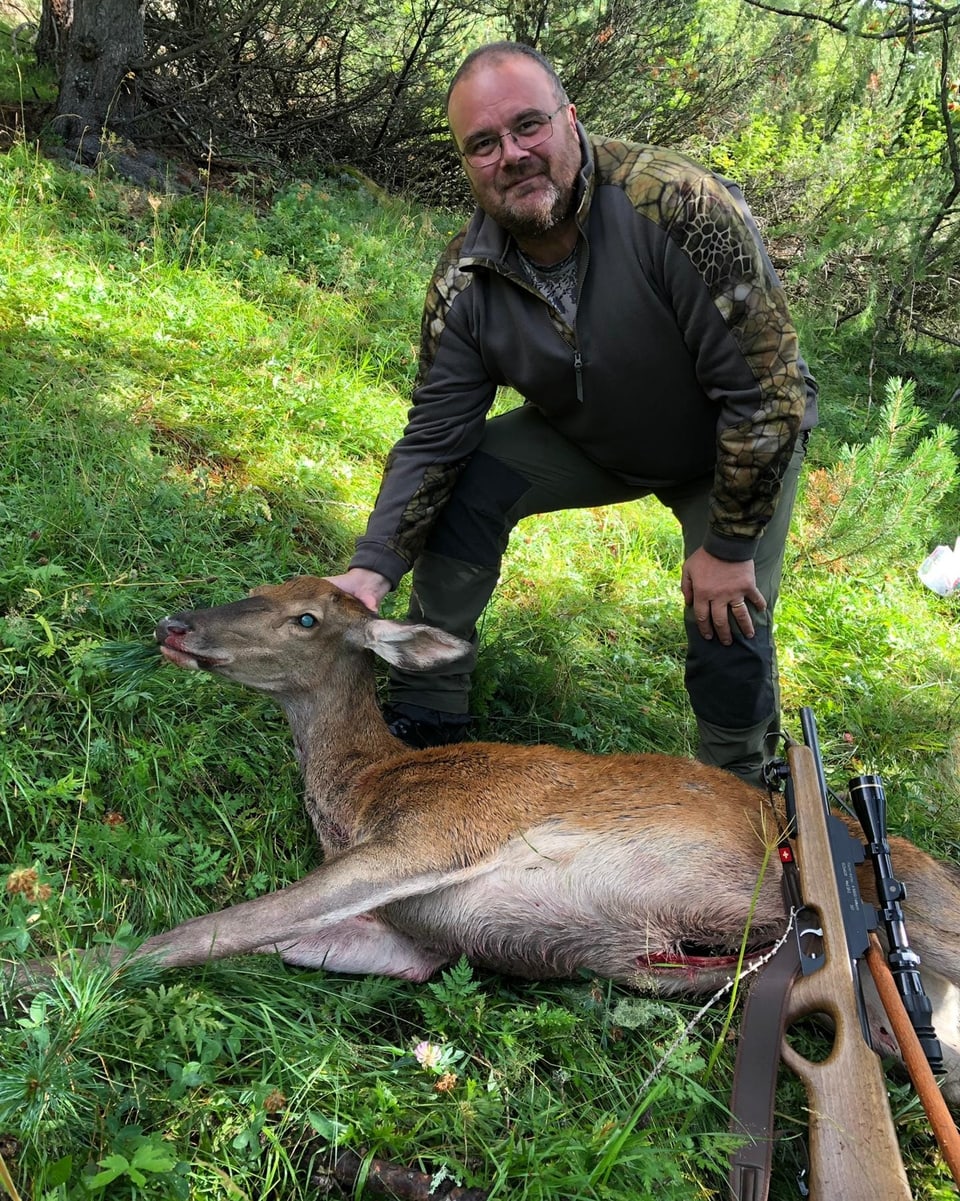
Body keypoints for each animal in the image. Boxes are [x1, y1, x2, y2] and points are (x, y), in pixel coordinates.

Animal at [22, 576, 960, 1100]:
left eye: (306, 619)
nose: (176, 625)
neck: (363, 789)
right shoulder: (413, 946)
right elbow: (260, 939)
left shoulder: (432, 836)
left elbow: (211, 926)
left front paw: (36, 974)